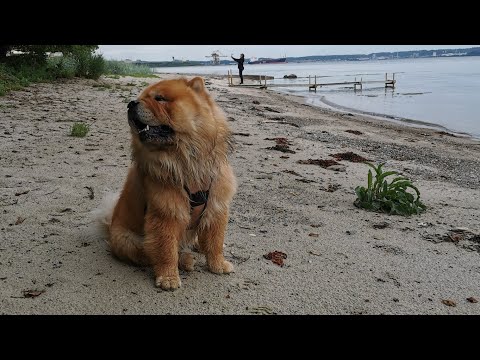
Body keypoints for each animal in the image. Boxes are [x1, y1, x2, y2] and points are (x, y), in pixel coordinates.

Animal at [98, 77, 237, 292]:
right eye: (140, 97)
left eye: (160, 99)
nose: (131, 103)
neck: (186, 161)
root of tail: (110, 226)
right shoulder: (166, 213)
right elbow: (166, 250)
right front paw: (168, 278)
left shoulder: (217, 206)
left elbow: (215, 241)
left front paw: (218, 264)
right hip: (129, 241)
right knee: (149, 253)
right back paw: (186, 260)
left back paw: (197, 246)